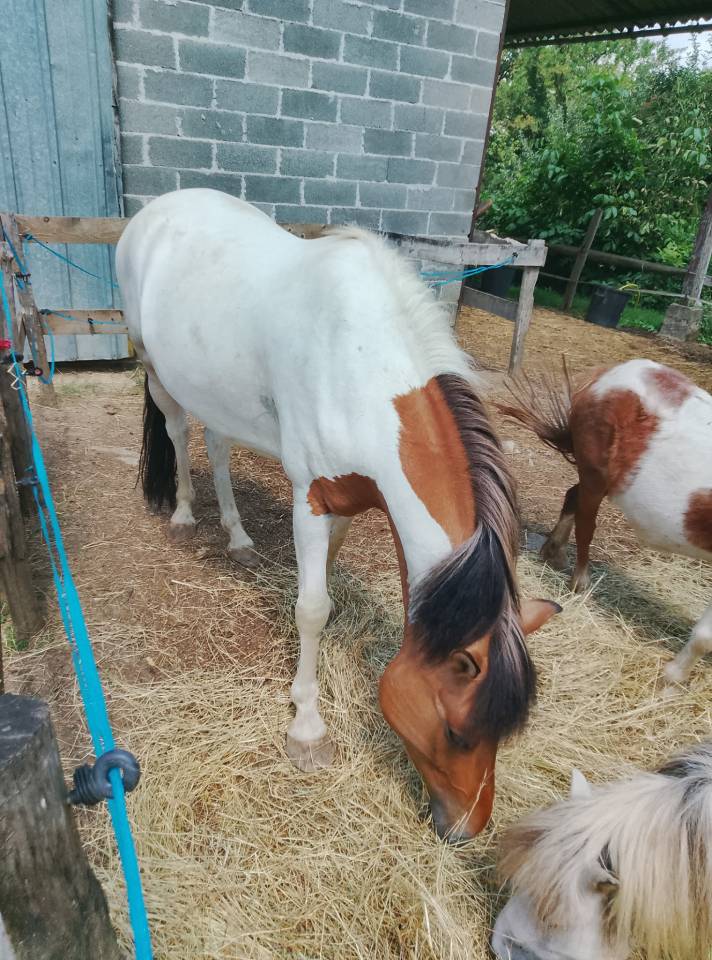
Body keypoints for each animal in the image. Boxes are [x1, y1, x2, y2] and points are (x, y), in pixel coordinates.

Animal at [115, 189, 560, 840]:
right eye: (457, 732)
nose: (465, 829)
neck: (361, 366)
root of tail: (157, 209)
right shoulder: (311, 497)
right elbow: (311, 610)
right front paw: (307, 728)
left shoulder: (351, 497)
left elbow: (328, 574)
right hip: (154, 366)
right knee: (177, 429)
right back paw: (186, 516)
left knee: (217, 443)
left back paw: (237, 536)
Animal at [498, 358, 712, 688]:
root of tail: (608, 376)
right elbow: (705, 636)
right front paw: (672, 679)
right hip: (595, 474)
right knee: (585, 522)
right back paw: (579, 581)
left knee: (572, 497)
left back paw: (554, 553)